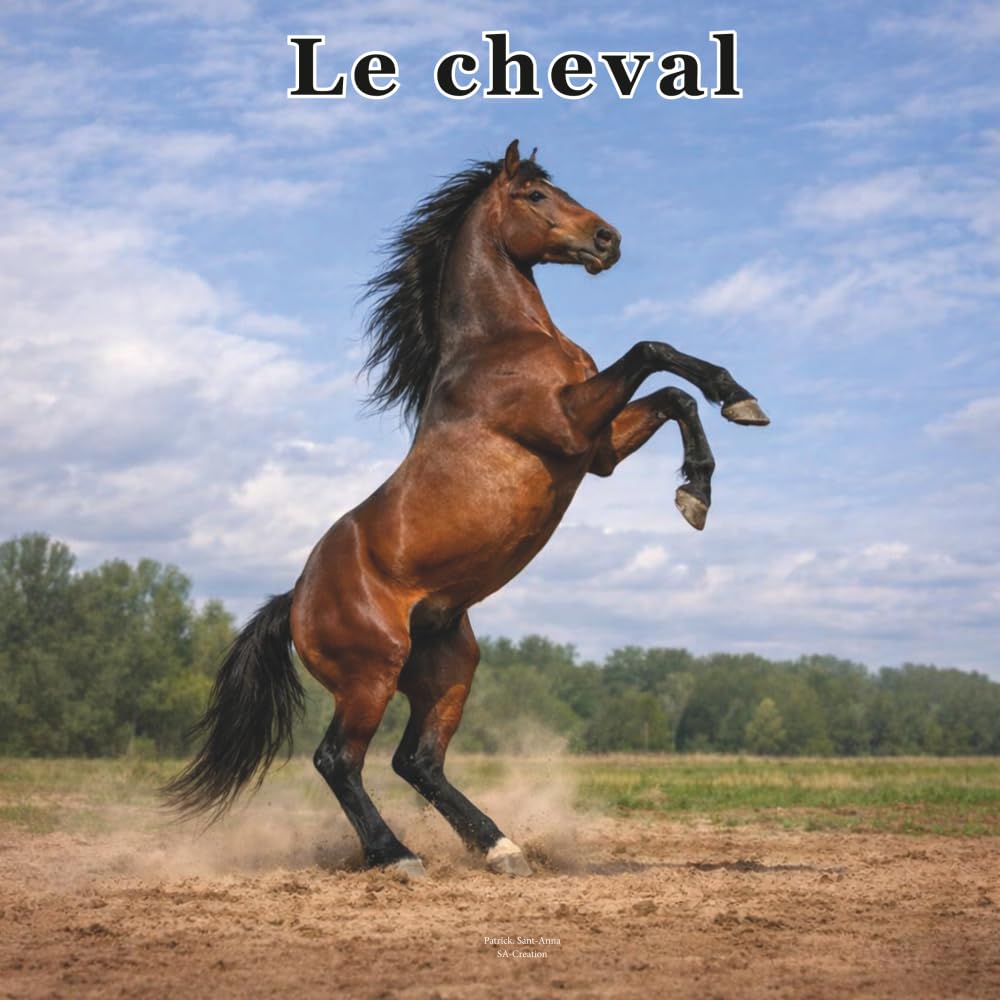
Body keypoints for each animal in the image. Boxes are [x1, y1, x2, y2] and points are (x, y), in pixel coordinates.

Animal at [165, 140, 768, 877]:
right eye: (534, 196)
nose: (608, 240)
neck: (500, 343)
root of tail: (295, 600)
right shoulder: (570, 426)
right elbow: (653, 350)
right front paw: (730, 413)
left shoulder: (596, 451)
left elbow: (674, 394)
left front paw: (703, 478)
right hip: (370, 673)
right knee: (339, 759)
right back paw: (397, 856)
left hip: (448, 669)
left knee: (417, 760)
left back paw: (500, 847)